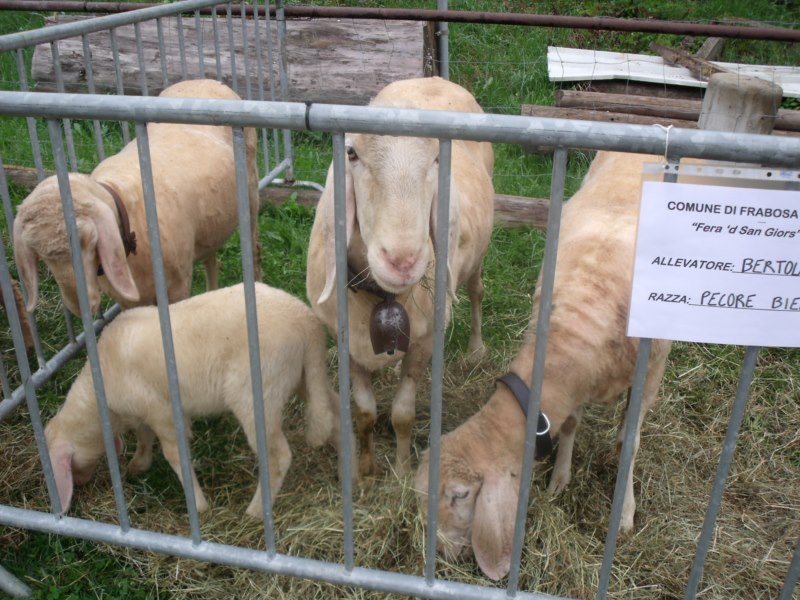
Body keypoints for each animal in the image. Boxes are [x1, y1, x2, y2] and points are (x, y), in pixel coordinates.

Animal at [12, 78, 260, 318]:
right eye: (39, 254)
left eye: (90, 240)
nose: (80, 307)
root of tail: (205, 80)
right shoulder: (128, 301)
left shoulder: (178, 287)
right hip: (209, 225)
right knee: (211, 256)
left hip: (250, 192)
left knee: (253, 244)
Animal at [43, 282, 344, 516]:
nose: (81, 483)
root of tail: (307, 322)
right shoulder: (143, 412)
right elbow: (143, 436)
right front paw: (138, 464)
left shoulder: (162, 412)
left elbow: (174, 453)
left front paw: (198, 505)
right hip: (303, 376)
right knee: (335, 412)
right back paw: (349, 471)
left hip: (256, 393)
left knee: (278, 456)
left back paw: (256, 511)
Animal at [306, 76, 494, 478]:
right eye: (351, 154)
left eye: (437, 158)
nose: (403, 260)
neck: (381, 296)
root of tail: (431, 78)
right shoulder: (346, 343)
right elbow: (364, 412)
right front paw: (365, 471)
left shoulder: (424, 341)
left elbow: (402, 415)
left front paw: (404, 471)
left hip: (476, 260)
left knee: (477, 291)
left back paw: (476, 349)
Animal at [416, 151, 672, 580]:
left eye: (459, 495)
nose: (439, 553)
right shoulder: (575, 384)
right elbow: (569, 424)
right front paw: (559, 480)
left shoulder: (651, 372)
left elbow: (632, 442)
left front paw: (625, 511)